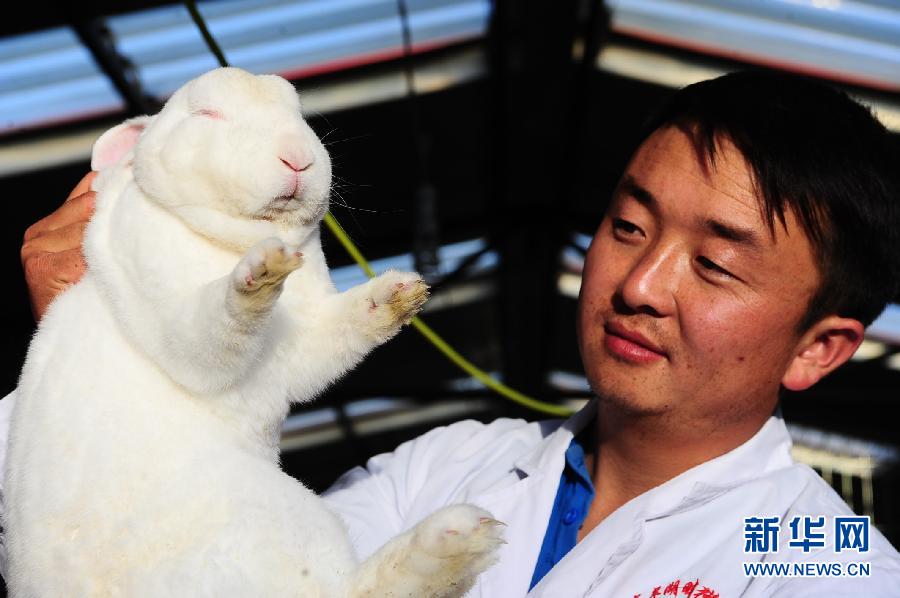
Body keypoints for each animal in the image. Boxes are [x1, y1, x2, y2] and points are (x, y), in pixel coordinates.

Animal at [3, 68, 502, 598]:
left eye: (297, 111)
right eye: (206, 113)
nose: (297, 158)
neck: (230, 237)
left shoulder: (303, 339)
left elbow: (341, 325)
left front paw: (397, 293)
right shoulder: (175, 311)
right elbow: (215, 324)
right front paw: (262, 272)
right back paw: (456, 538)